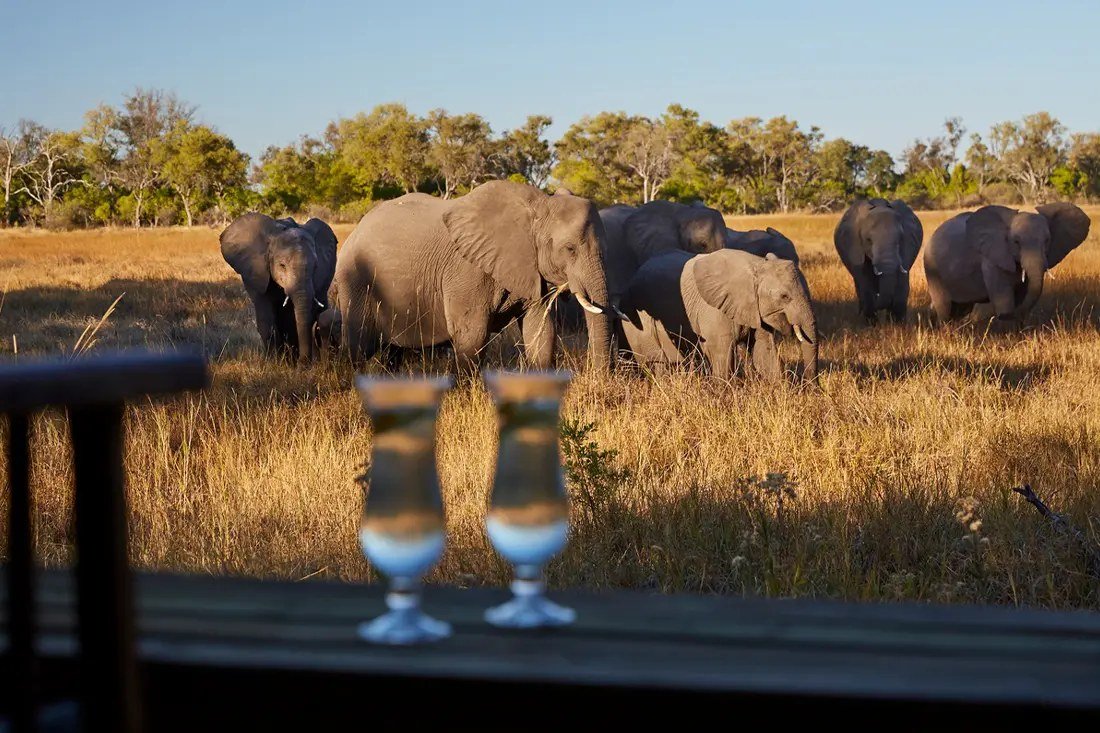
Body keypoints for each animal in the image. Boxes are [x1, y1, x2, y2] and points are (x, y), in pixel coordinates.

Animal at [220, 213, 338, 364]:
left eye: (316, 267)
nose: (303, 364)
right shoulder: (255, 272)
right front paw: (274, 364)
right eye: (282, 265)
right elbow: (265, 316)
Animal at [334, 180, 617, 371]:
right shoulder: (466, 271)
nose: (600, 379)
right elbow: (472, 334)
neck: (535, 209)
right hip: (355, 280)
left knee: (393, 352)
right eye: (569, 249)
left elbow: (541, 331)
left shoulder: (534, 272)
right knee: (360, 348)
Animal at [619, 249, 818, 382]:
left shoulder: (754, 308)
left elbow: (764, 351)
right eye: (784, 297)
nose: (813, 388)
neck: (757, 265)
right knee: (659, 361)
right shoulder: (713, 310)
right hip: (636, 317)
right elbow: (722, 352)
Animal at [924, 202, 1090, 326]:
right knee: (944, 306)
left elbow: (1025, 291)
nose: (1019, 317)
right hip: (932, 269)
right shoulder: (992, 259)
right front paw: (1007, 322)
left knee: (961, 307)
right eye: (1016, 242)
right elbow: (1003, 295)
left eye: (1047, 240)